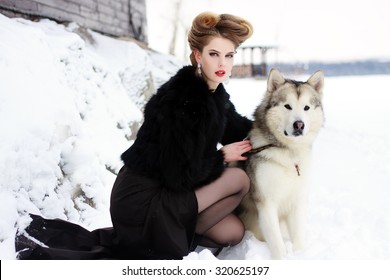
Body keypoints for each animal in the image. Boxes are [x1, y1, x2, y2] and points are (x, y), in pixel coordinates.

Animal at [239, 67, 324, 258]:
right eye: (287, 106)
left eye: (306, 108)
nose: (299, 125)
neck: (288, 155)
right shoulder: (266, 202)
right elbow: (277, 243)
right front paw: (283, 257)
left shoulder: (298, 199)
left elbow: (298, 235)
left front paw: (299, 255)